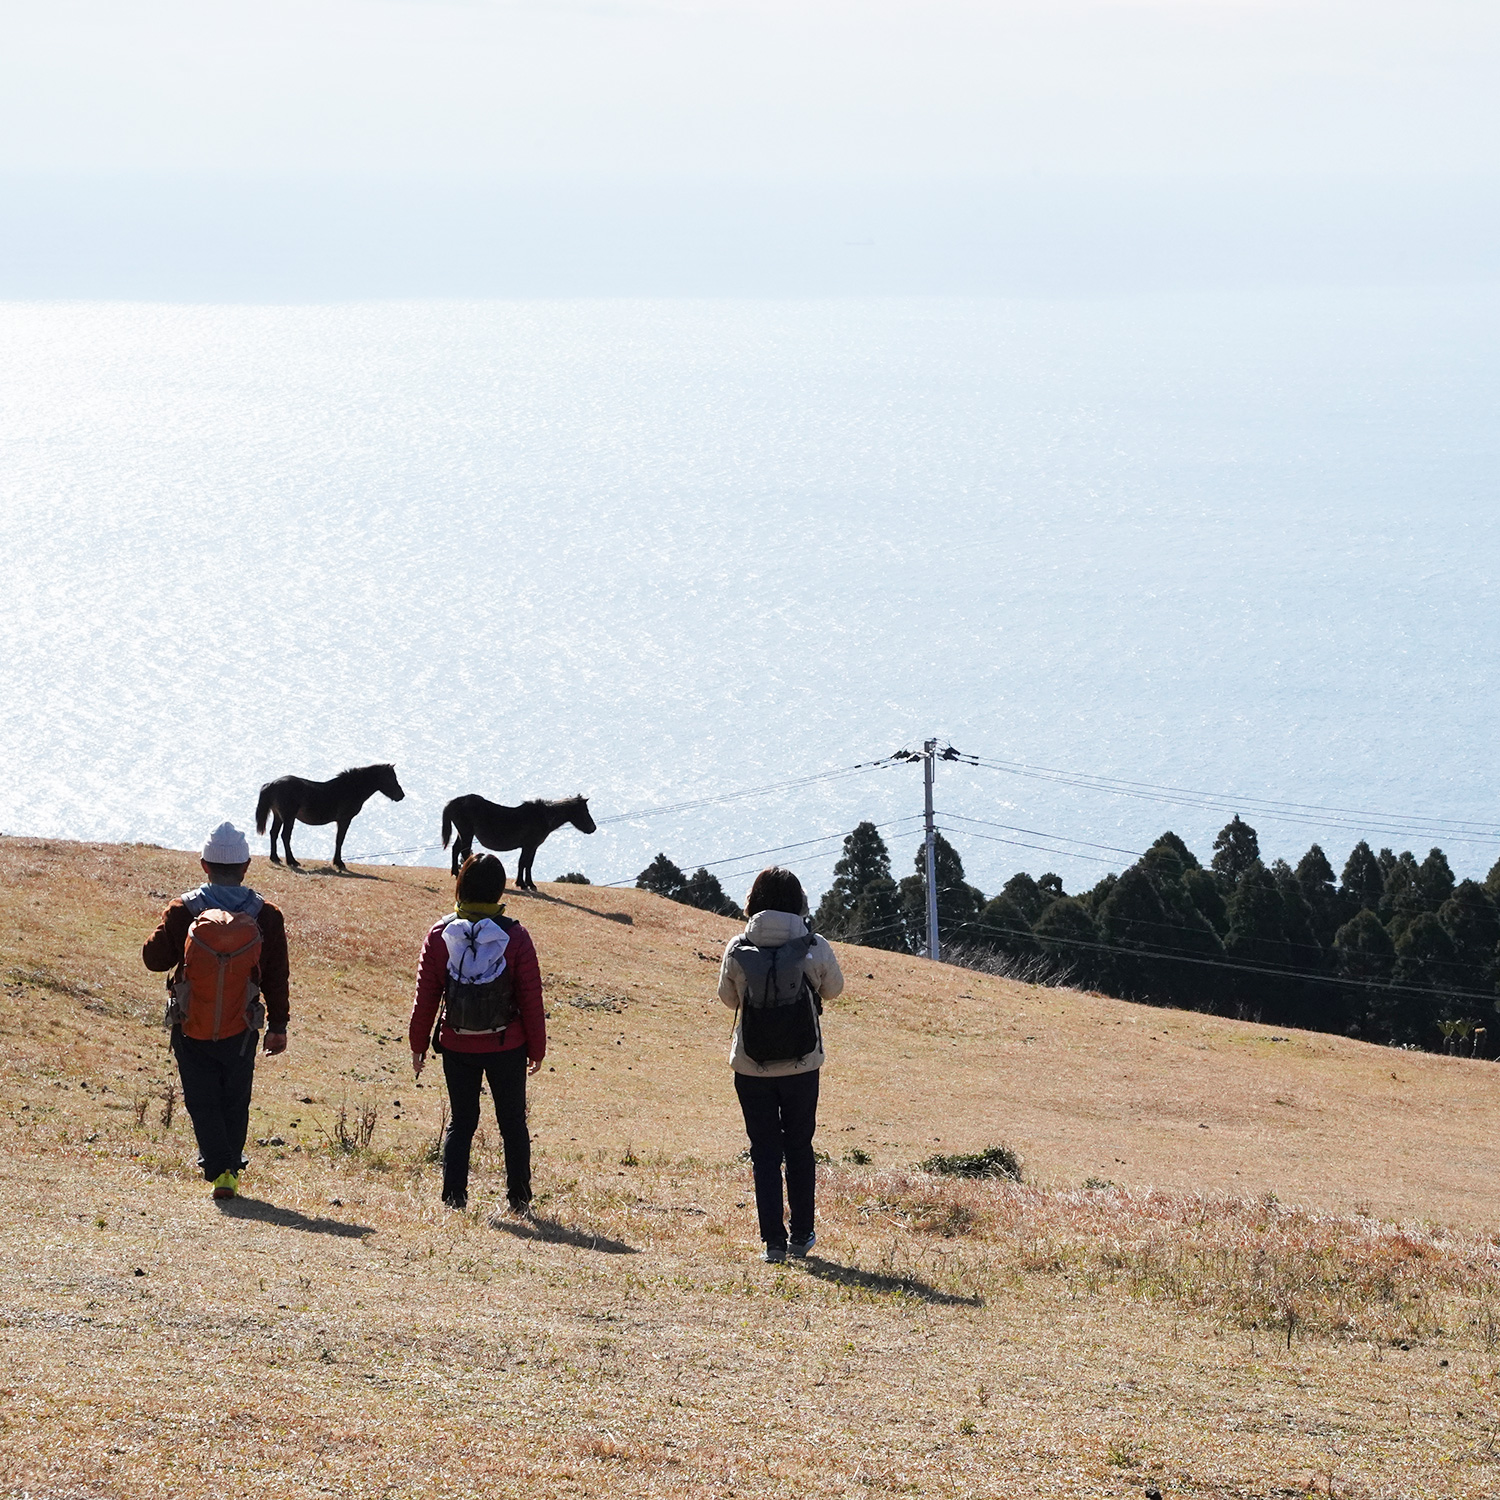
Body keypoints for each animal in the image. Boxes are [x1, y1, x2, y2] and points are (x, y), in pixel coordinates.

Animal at [255, 768, 405, 876]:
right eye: (391, 778)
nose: (401, 795)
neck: (351, 789)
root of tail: (272, 784)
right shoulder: (344, 820)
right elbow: (339, 840)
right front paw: (339, 863)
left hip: (279, 817)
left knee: (274, 833)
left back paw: (275, 858)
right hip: (288, 818)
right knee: (285, 836)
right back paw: (292, 861)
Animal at [438, 798, 597, 888]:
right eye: (584, 811)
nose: (593, 828)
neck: (542, 817)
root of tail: (453, 802)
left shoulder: (533, 847)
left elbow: (528, 864)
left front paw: (530, 884)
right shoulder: (528, 846)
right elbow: (523, 863)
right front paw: (521, 883)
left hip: (463, 834)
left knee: (456, 849)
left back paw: (456, 872)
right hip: (467, 833)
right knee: (464, 851)